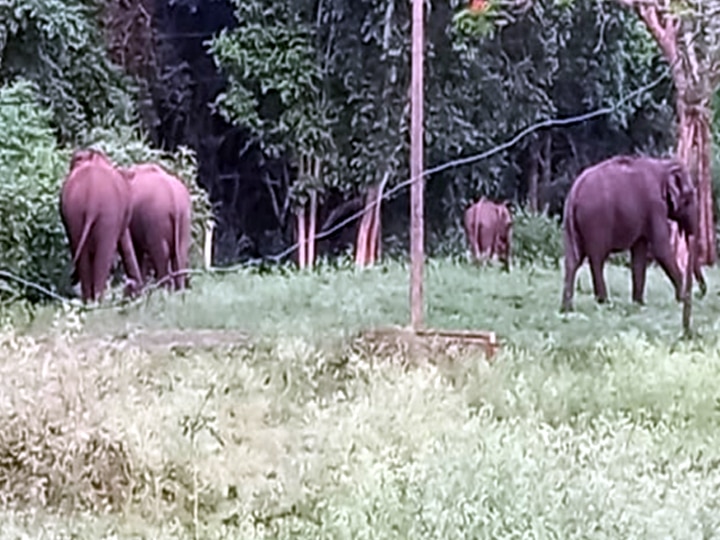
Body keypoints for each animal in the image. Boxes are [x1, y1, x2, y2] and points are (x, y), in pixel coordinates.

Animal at [60, 150, 143, 304]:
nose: (134, 290)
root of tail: (92, 200)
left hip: (76, 212)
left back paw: (89, 302)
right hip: (107, 215)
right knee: (104, 255)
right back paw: (98, 302)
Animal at [560, 154, 704, 310]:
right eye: (689, 196)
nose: (697, 294)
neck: (663, 165)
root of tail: (575, 191)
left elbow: (639, 254)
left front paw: (639, 304)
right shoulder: (655, 206)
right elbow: (661, 249)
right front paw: (682, 300)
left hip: (570, 224)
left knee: (572, 260)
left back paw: (566, 309)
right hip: (596, 221)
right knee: (597, 259)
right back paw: (605, 303)